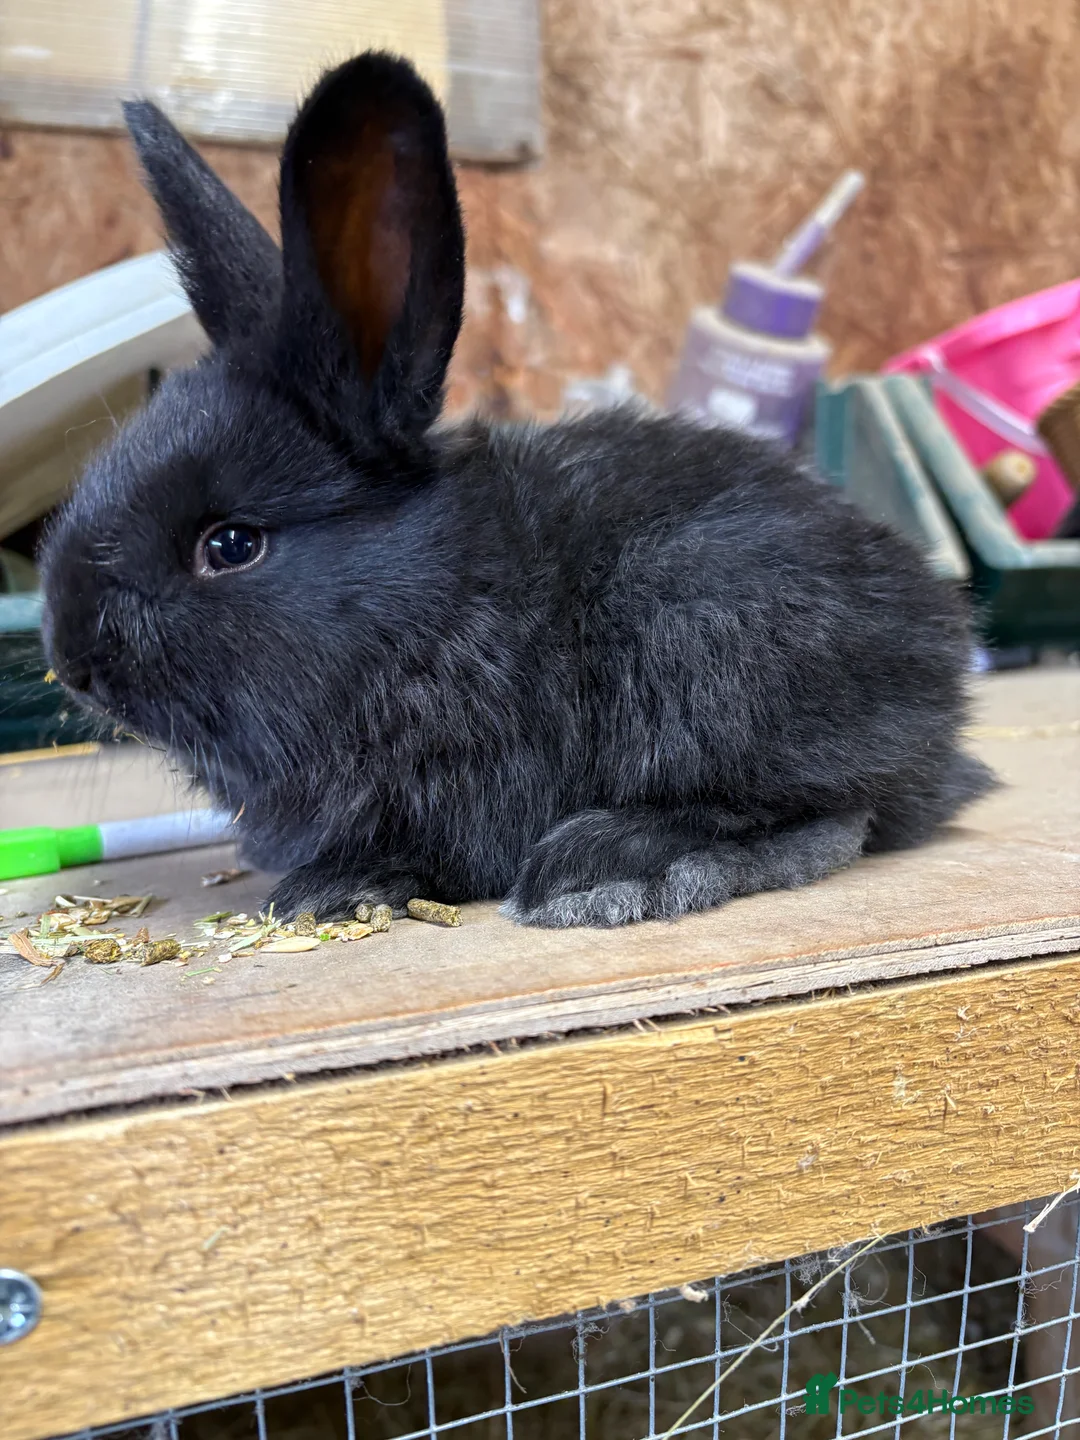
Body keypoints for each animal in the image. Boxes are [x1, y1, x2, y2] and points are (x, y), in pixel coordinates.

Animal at [39, 52, 995, 929]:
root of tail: (942, 668)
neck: (438, 607)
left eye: (230, 545)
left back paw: (609, 868)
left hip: (705, 629)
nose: (74, 659)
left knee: (828, 814)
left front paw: (331, 888)